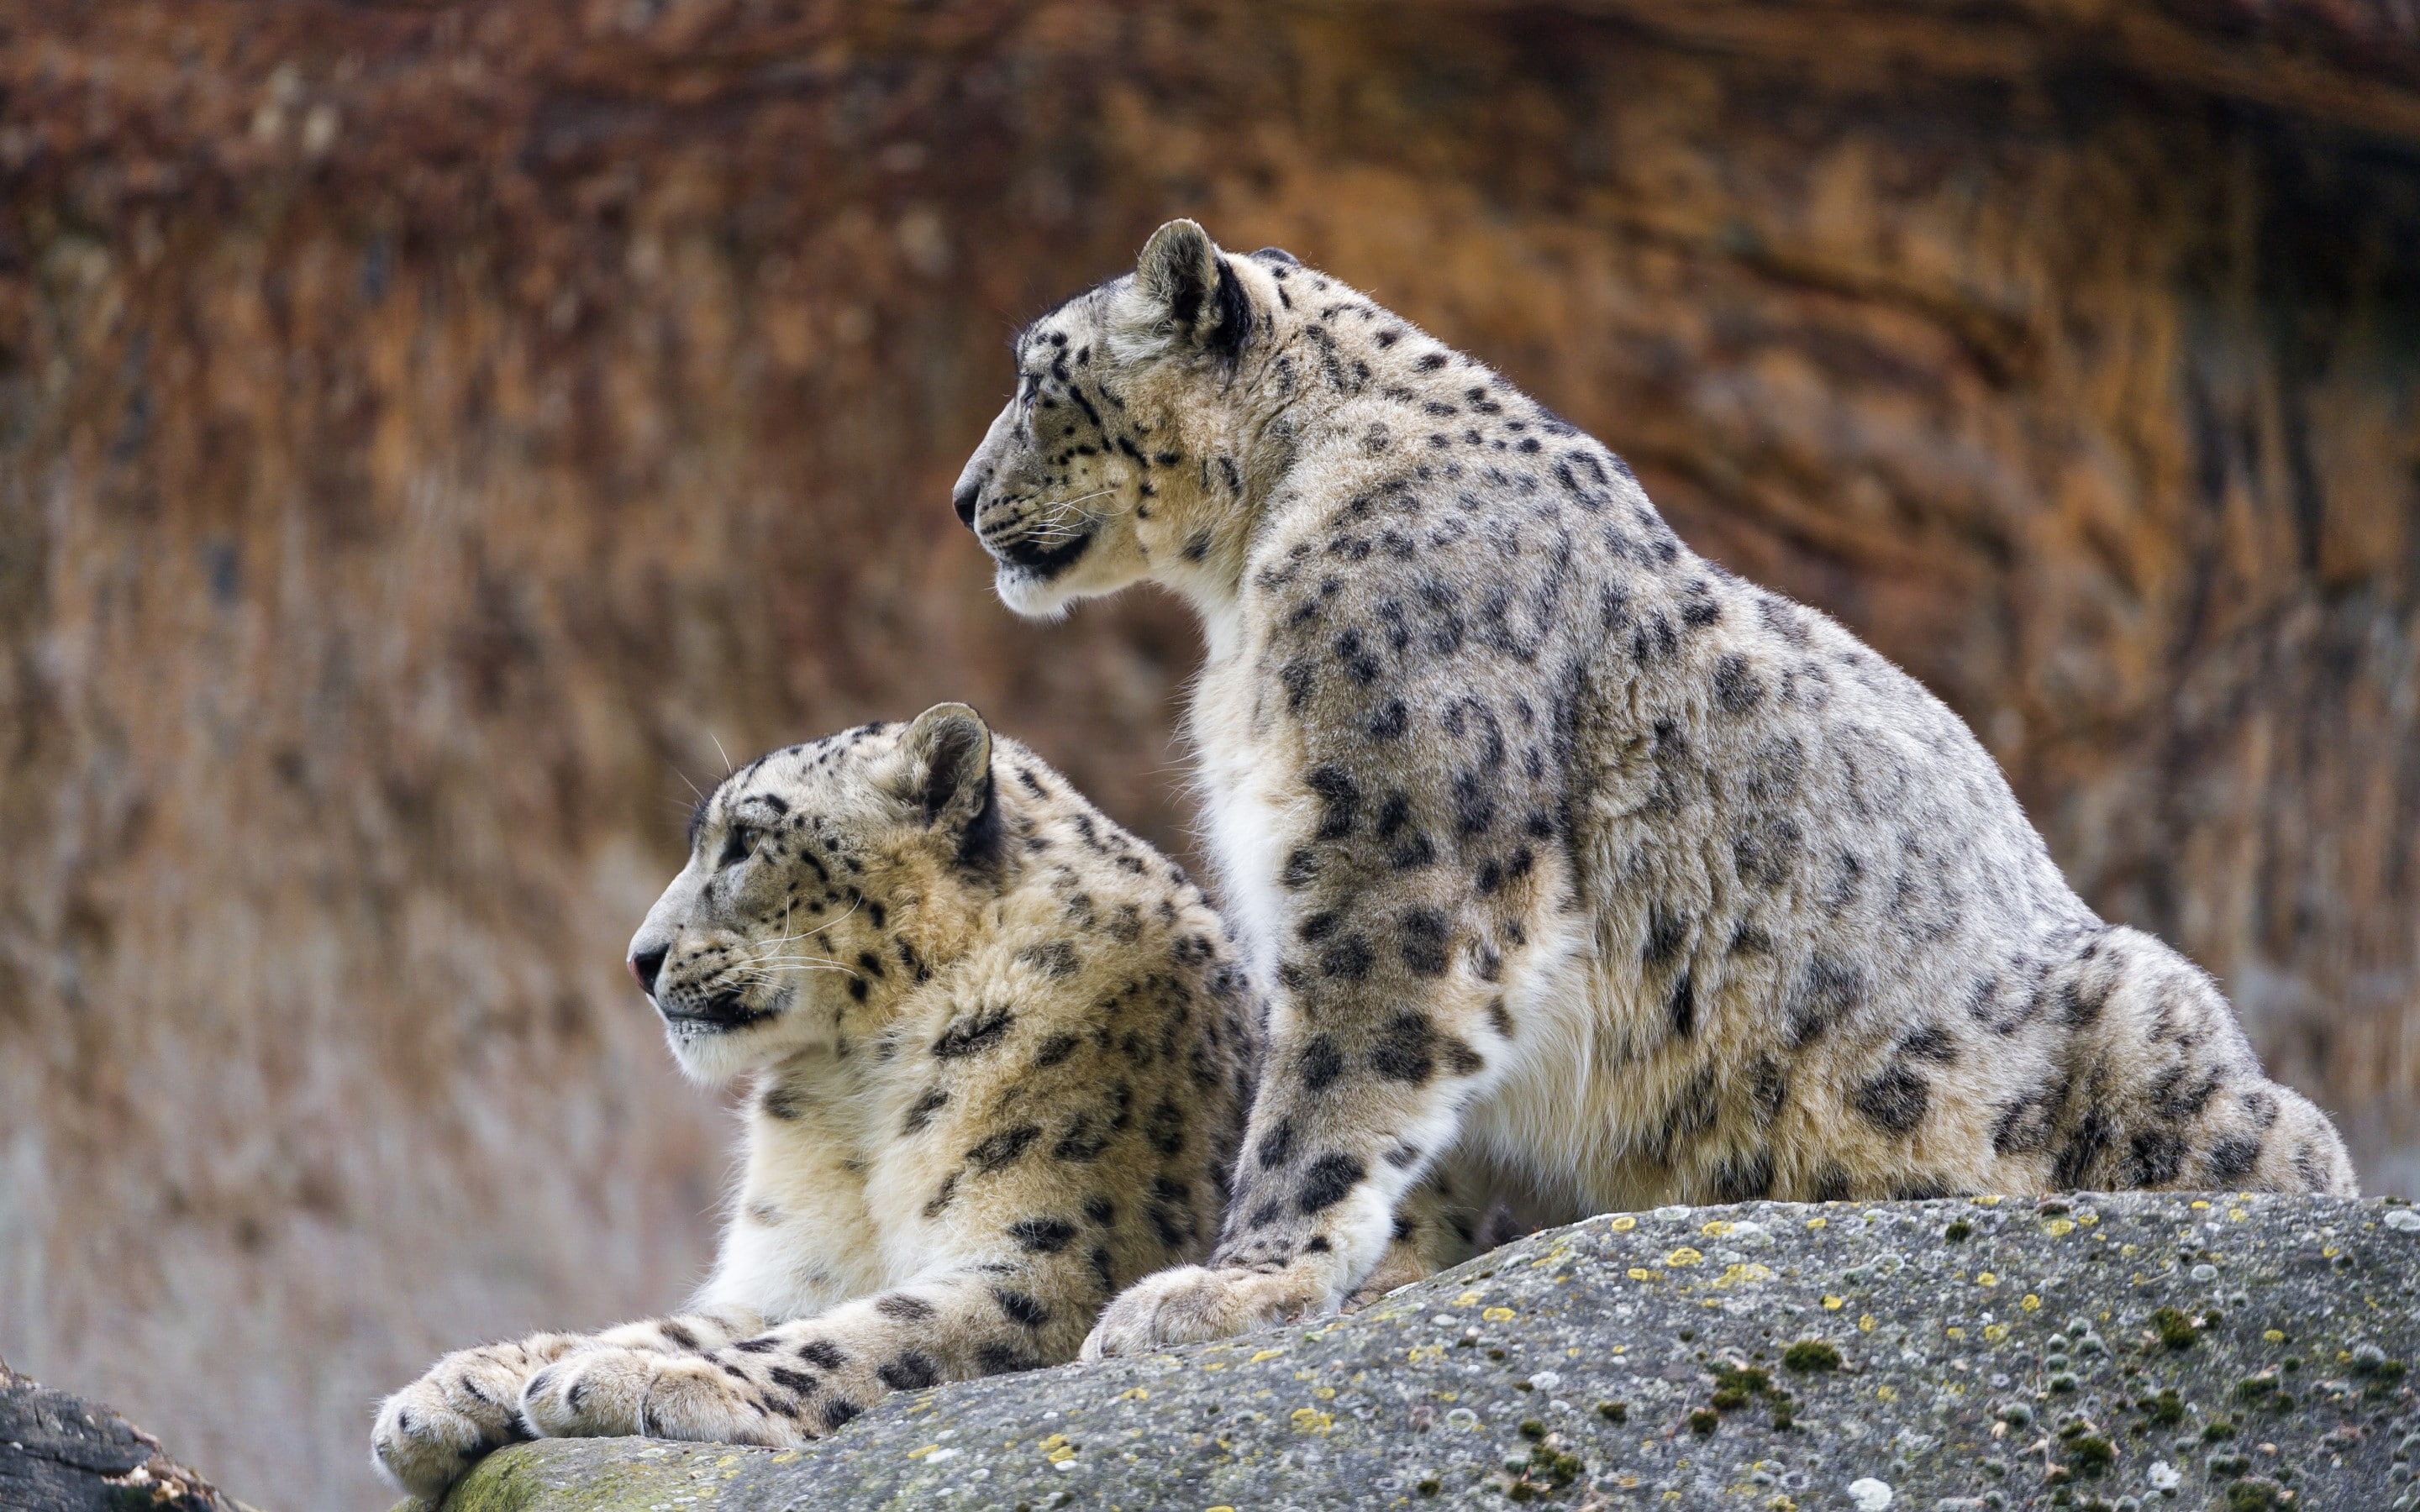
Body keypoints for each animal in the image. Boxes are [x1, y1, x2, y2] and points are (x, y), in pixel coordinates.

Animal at [370, 704, 1259, 1498]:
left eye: (745, 843)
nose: (638, 960)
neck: (857, 1096)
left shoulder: (1057, 1258)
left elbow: (866, 1334)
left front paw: (632, 1376)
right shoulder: (794, 1273)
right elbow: (706, 1320)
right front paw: (458, 1387)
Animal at [947, 219, 2358, 1362]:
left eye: (1035, 375)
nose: (961, 499)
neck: (1243, 590)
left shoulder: (1395, 854)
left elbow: (1333, 1091)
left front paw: (1225, 1290)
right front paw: (1394, 1268)